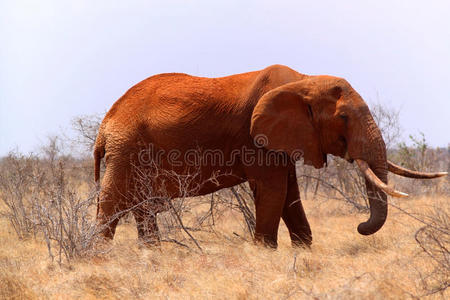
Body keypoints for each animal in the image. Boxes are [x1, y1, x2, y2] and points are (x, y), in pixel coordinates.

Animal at [92, 64, 446, 247]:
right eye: (344, 118)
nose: (360, 226)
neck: (304, 80)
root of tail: (106, 123)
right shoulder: (257, 139)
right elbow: (274, 191)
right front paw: (264, 253)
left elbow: (290, 193)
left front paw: (302, 251)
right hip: (126, 149)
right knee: (112, 204)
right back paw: (100, 256)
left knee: (141, 207)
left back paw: (152, 255)